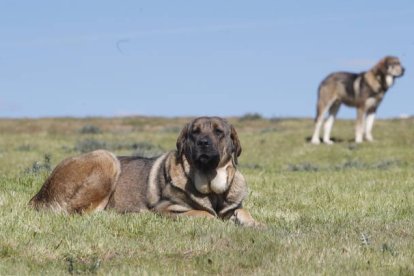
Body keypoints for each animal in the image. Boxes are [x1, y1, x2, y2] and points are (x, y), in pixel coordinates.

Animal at [29, 116, 262, 226]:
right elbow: (205, 214)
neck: (212, 188)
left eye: (218, 132)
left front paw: (255, 224)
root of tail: (37, 196)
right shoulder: (167, 209)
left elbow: (244, 212)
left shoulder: (234, 207)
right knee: (79, 212)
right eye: (194, 133)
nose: (203, 143)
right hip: (107, 158)